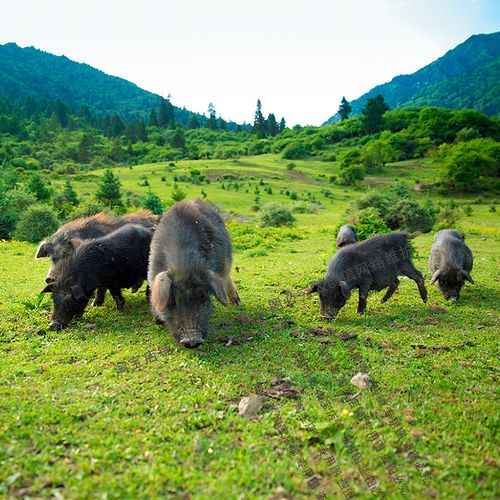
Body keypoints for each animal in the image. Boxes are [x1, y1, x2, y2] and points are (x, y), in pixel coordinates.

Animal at [148, 199, 240, 348]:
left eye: (203, 298)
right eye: (173, 300)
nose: (192, 340)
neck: (183, 260)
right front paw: (157, 319)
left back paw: (237, 303)